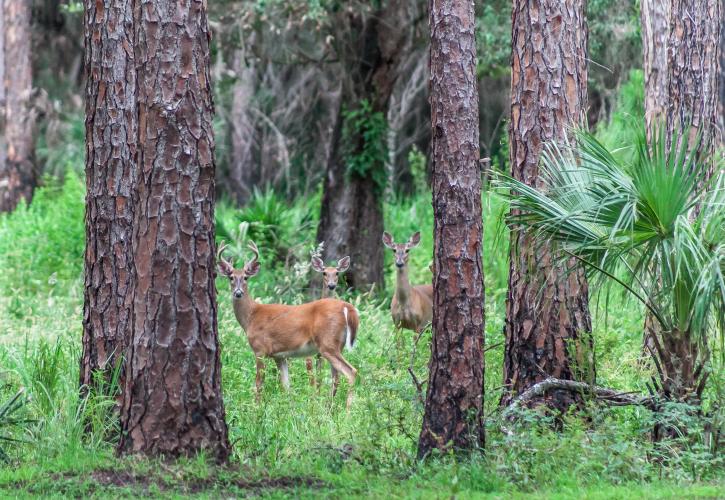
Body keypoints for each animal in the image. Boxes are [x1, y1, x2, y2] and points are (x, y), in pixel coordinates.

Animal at [218, 240, 360, 408]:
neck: (251, 316)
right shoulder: (280, 356)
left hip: (327, 344)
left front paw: (256, 409)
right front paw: (289, 410)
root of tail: (347, 306)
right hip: (338, 345)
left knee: (351, 371)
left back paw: (348, 409)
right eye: (231, 277)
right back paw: (329, 408)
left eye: (246, 277)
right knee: (335, 377)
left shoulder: (260, 349)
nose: (238, 293)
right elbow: (286, 386)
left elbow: (259, 383)